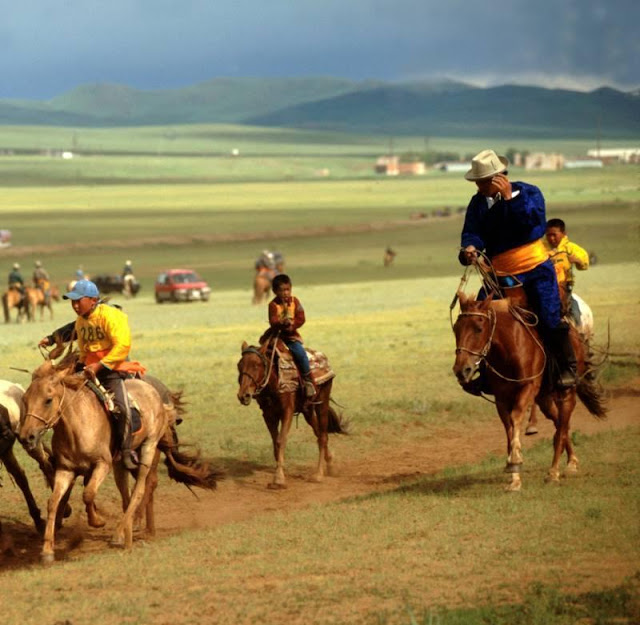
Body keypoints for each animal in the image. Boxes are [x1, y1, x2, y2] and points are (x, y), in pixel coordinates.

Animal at [18, 354, 221, 564]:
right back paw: (128, 533)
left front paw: (97, 521)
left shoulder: (102, 464)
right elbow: (53, 502)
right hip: (120, 464)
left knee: (141, 489)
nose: (26, 437)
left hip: (148, 448)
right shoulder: (66, 469)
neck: (77, 426)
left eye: (48, 400)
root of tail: (156, 395)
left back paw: (120, 534)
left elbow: (88, 494)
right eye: (25, 399)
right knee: (127, 495)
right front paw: (47, 550)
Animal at [236, 342, 348, 488]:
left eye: (256, 365)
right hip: (307, 410)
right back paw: (330, 464)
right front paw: (279, 471)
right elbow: (275, 442)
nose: (243, 395)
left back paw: (319, 474)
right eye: (239, 365)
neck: (275, 381)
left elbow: (281, 440)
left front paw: (278, 478)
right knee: (318, 433)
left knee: (323, 436)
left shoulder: (287, 411)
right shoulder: (268, 415)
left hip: (322, 402)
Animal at [450, 292, 604, 492]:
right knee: (558, 422)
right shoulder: (501, 397)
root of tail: (577, 337)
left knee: (562, 425)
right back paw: (572, 460)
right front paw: (514, 476)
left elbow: (516, 418)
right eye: (456, 329)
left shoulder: (527, 388)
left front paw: (515, 462)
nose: (461, 370)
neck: (509, 349)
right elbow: (509, 428)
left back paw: (554, 472)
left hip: (566, 393)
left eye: (478, 328)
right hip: (544, 398)